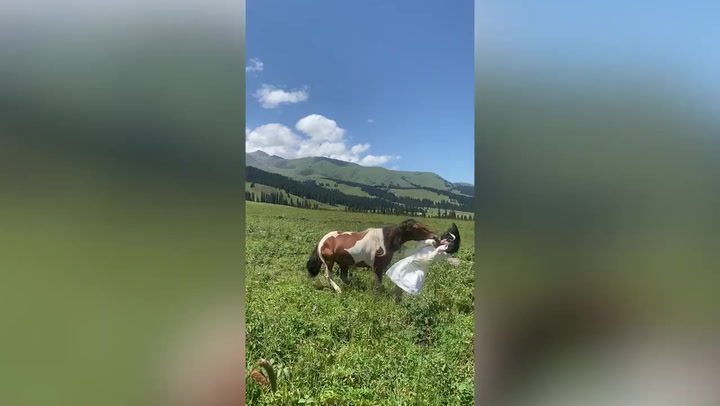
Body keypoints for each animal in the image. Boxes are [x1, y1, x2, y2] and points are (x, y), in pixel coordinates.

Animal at [306, 219, 436, 292]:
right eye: (417, 228)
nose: (435, 236)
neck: (384, 240)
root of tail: (322, 241)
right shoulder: (378, 267)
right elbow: (378, 284)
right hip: (329, 262)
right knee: (328, 276)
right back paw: (338, 290)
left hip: (344, 263)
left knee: (344, 277)